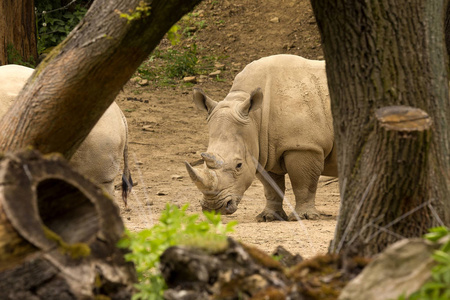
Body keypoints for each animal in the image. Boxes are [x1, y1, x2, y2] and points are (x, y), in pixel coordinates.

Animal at [185, 54, 338, 220]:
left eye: (239, 165)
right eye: (203, 163)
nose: (213, 208)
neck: (255, 118)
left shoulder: (305, 146)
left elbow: (303, 184)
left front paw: (304, 217)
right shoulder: (264, 150)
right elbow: (271, 187)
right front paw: (268, 217)